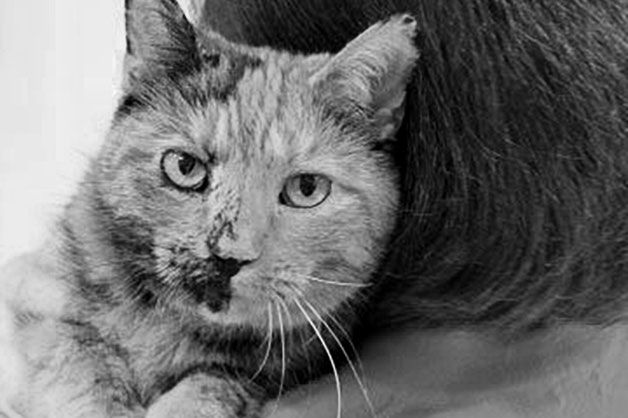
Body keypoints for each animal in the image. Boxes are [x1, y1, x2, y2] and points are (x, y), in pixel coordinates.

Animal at [3, 0, 418, 418]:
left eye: (306, 189)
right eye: (185, 167)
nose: (228, 256)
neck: (170, 330)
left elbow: (213, 381)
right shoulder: (37, 300)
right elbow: (81, 360)